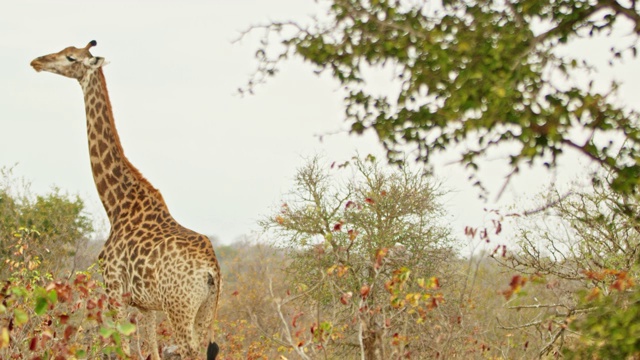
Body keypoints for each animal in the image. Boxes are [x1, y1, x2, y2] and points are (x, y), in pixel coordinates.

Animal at [31, 40, 222, 358]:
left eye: (70, 57)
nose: (37, 61)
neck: (117, 204)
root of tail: (210, 271)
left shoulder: (115, 289)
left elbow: (121, 347)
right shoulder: (146, 305)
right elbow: (151, 350)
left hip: (180, 308)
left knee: (190, 350)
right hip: (206, 310)